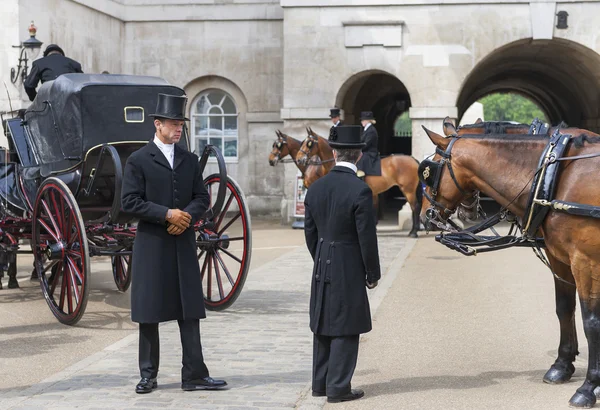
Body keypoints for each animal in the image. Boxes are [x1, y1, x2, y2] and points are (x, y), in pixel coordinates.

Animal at [420, 126, 600, 408]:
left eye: (430, 171)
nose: (424, 216)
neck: (558, 177)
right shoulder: (560, 258)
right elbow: (564, 309)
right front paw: (562, 365)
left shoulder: (586, 262)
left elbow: (592, 323)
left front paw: (590, 386)